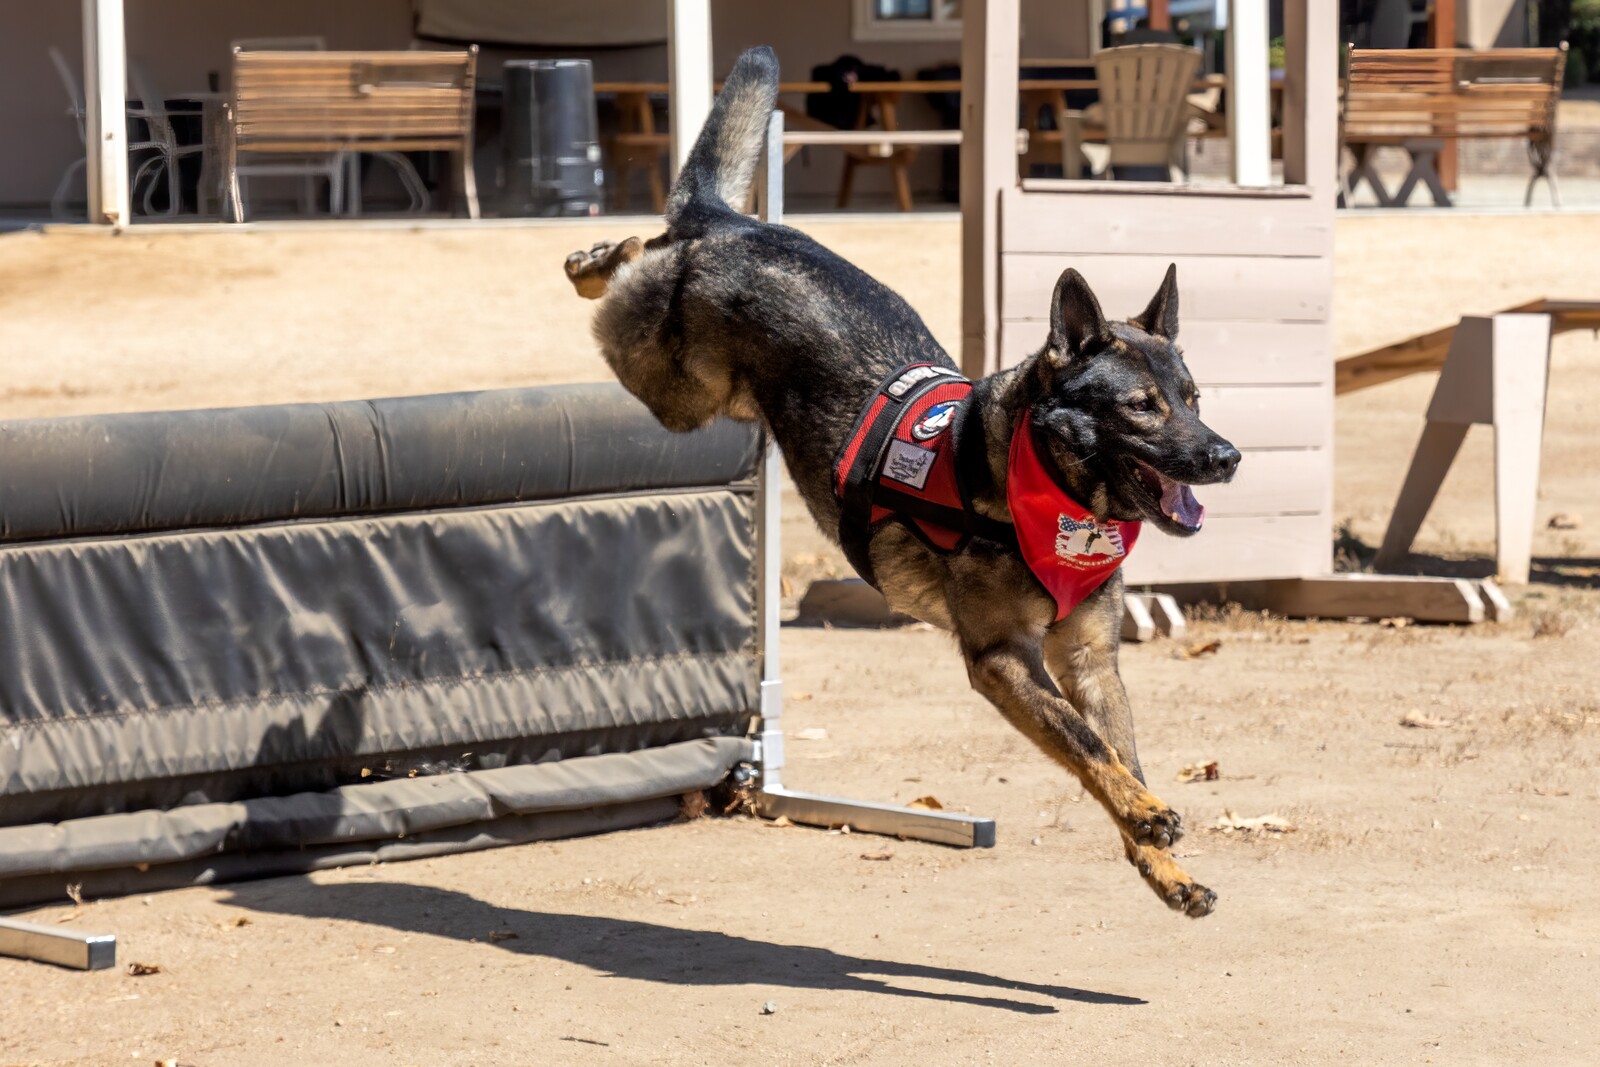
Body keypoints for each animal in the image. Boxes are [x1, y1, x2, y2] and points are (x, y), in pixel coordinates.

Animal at [563, 47, 1235, 921]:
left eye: (1193, 398)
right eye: (1142, 407)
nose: (1227, 456)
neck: (1029, 482)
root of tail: (734, 226)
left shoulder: (1091, 661)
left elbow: (1115, 752)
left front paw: (1161, 862)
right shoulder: (1001, 658)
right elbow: (1087, 744)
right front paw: (1147, 814)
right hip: (675, 389)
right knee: (641, 253)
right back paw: (592, 259)